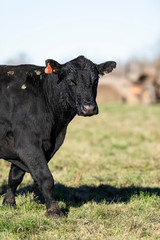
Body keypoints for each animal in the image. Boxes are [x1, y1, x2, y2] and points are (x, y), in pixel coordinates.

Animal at [0, 55, 115, 218]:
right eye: (71, 80)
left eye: (96, 80)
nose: (89, 108)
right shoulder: (28, 144)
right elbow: (45, 178)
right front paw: (54, 211)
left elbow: (15, 177)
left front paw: (9, 203)